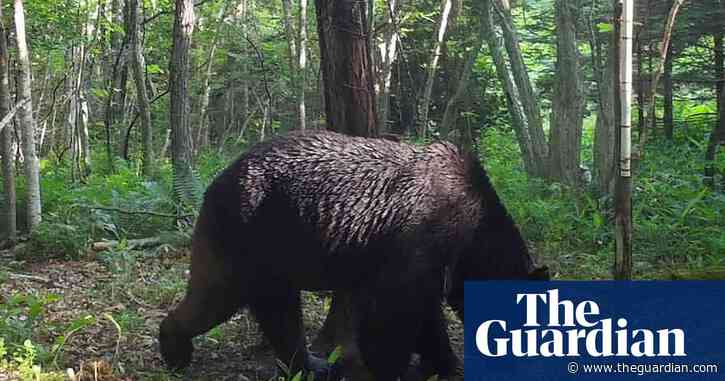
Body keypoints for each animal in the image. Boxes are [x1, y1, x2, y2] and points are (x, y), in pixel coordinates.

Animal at [157, 129, 544, 378]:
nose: (523, 358)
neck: (473, 231)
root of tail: (215, 181)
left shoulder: (433, 262)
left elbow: (426, 313)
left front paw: (445, 361)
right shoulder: (419, 239)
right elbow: (394, 312)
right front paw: (390, 365)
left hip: (273, 253)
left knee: (277, 311)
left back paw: (311, 364)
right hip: (246, 233)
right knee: (217, 296)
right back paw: (175, 349)